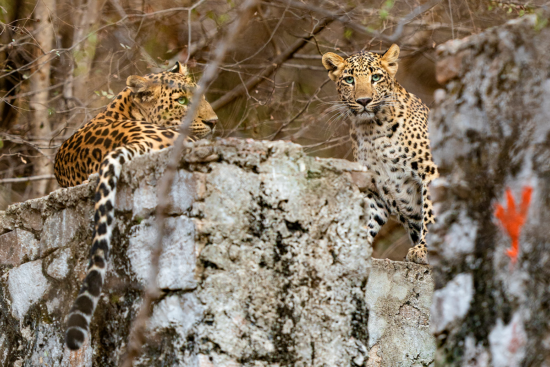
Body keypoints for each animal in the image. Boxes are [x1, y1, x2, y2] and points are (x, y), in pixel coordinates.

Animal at [324, 44, 440, 266]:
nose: (363, 100)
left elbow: (432, 214)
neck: (372, 130)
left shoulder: (432, 170)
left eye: (376, 77)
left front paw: (424, 250)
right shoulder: (374, 186)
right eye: (349, 79)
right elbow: (366, 218)